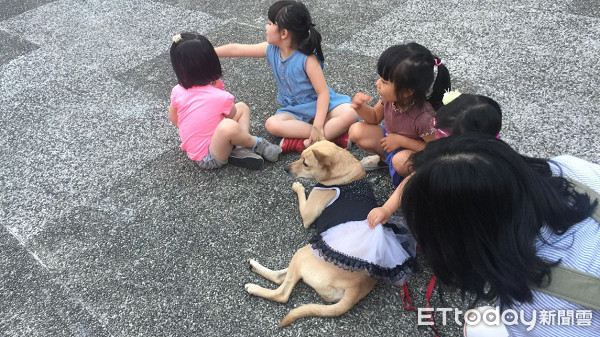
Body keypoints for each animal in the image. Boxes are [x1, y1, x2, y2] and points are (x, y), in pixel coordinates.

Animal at [244, 136, 418, 326]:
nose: (285, 169)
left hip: (302, 254)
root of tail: (354, 288)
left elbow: (303, 197)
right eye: (300, 155)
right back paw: (254, 266)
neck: (345, 176)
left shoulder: (308, 214)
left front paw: (298, 187)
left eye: (305, 163)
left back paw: (254, 288)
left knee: (282, 293)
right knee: (282, 276)